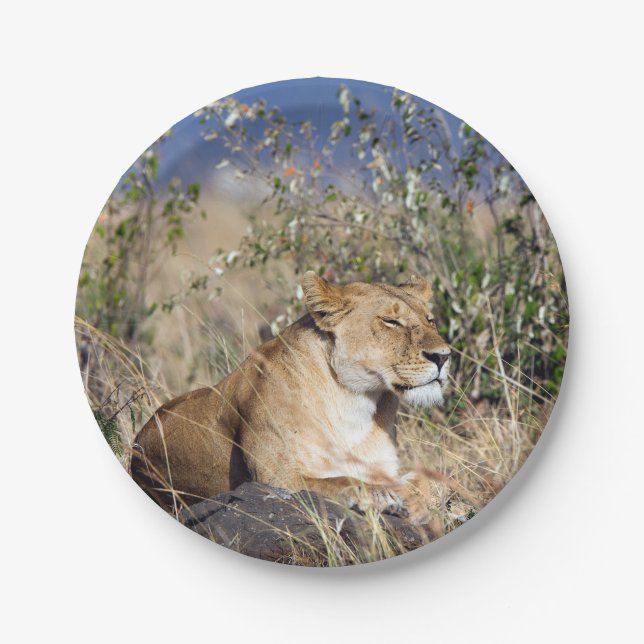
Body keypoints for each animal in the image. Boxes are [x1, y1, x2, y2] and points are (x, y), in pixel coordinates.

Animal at [130, 272, 452, 526]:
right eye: (391, 321)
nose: (443, 357)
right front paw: (383, 497)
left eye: (430, 320)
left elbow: (430, 480)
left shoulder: (384, 466)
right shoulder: (275, 480)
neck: (354, 401)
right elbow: (342, 481)